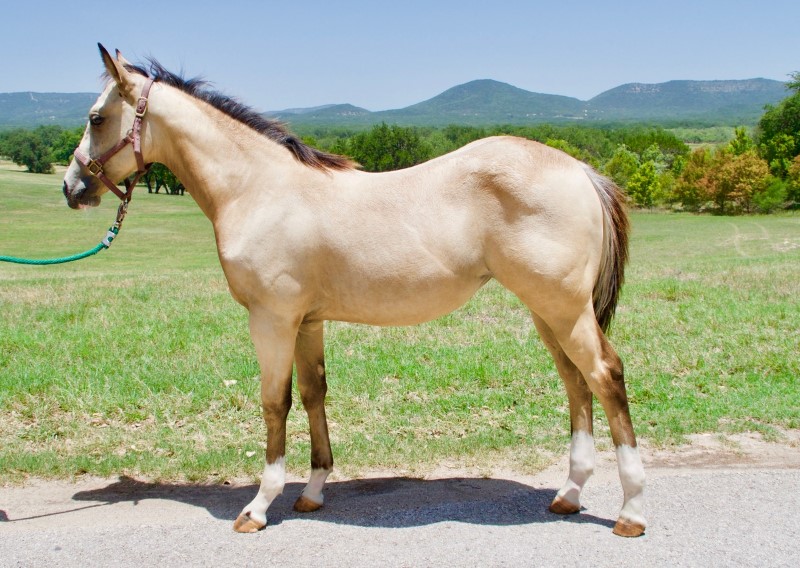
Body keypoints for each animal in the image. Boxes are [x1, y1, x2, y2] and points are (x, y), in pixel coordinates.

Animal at [64, 45, 648, 536]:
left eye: (96, 118)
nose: (73, 187)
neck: (259, 189)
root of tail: (580, 170)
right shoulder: (308, 322)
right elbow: (313, 395)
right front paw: (313, 492)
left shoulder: (271, 320)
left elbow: (274, 403)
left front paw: (258, 507)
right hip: (547, 312)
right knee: (576, 383)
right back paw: (568, 495)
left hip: (564, 310)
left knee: (606, 376)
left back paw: (631, 511)